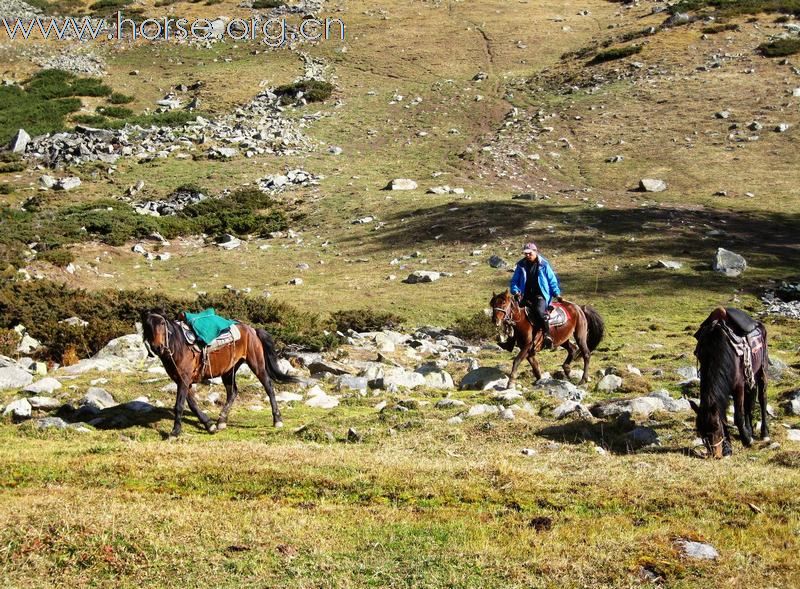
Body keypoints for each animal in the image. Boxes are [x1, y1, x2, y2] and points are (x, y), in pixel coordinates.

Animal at [142, 308, 298, 436]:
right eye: (147, 325)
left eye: (162, 323)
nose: (158, 347)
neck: (179, 347)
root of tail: (252, 329)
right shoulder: (181, 380)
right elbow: (192, 404)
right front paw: (209, 425)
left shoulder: (184, 379)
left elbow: (179, 405)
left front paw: (175, 432)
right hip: (229, 370)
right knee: (233, 392)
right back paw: (221, 421)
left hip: (257, 364)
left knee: (269, 387)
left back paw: (277, 419)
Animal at [688, 308, 768, 460]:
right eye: (700, 431)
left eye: (715, 427)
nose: (715, 455)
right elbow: (725, 415)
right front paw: (727, 449)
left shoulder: (739, 387)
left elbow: (738, 416)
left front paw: (747, 440)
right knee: (749, 403)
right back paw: (750, 429)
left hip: (761, 370)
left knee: (762, 399)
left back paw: (764, 433)